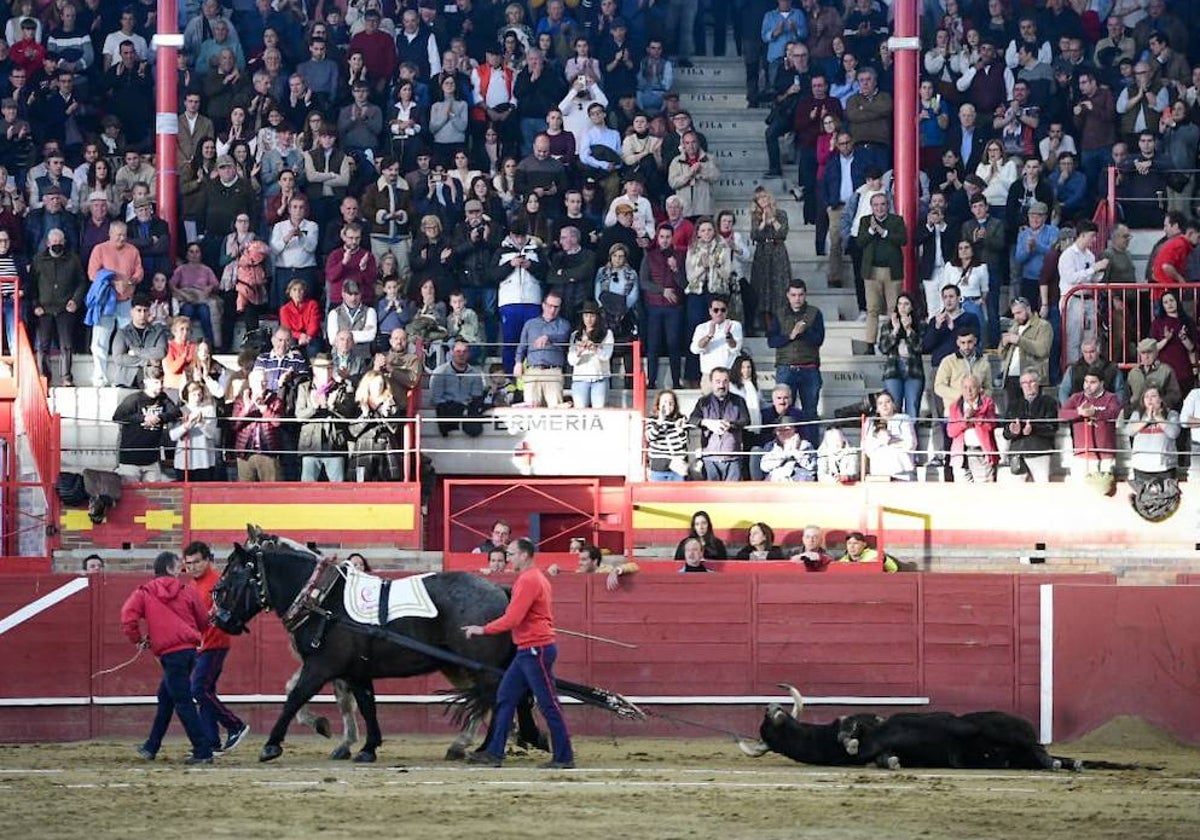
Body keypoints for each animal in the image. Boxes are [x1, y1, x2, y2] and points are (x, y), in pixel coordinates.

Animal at [212, 528, 544, 763]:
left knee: (497, 698)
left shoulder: (321, 666)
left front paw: (272, 745)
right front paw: (366, 747)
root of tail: (502, 590)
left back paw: (482, 747)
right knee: (499, 698)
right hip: (461, 666)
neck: (323, 599)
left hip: (479, 668)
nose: (217, 619)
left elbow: (295, 696)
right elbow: (365, 704)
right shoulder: (355, 671)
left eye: (232, 576)